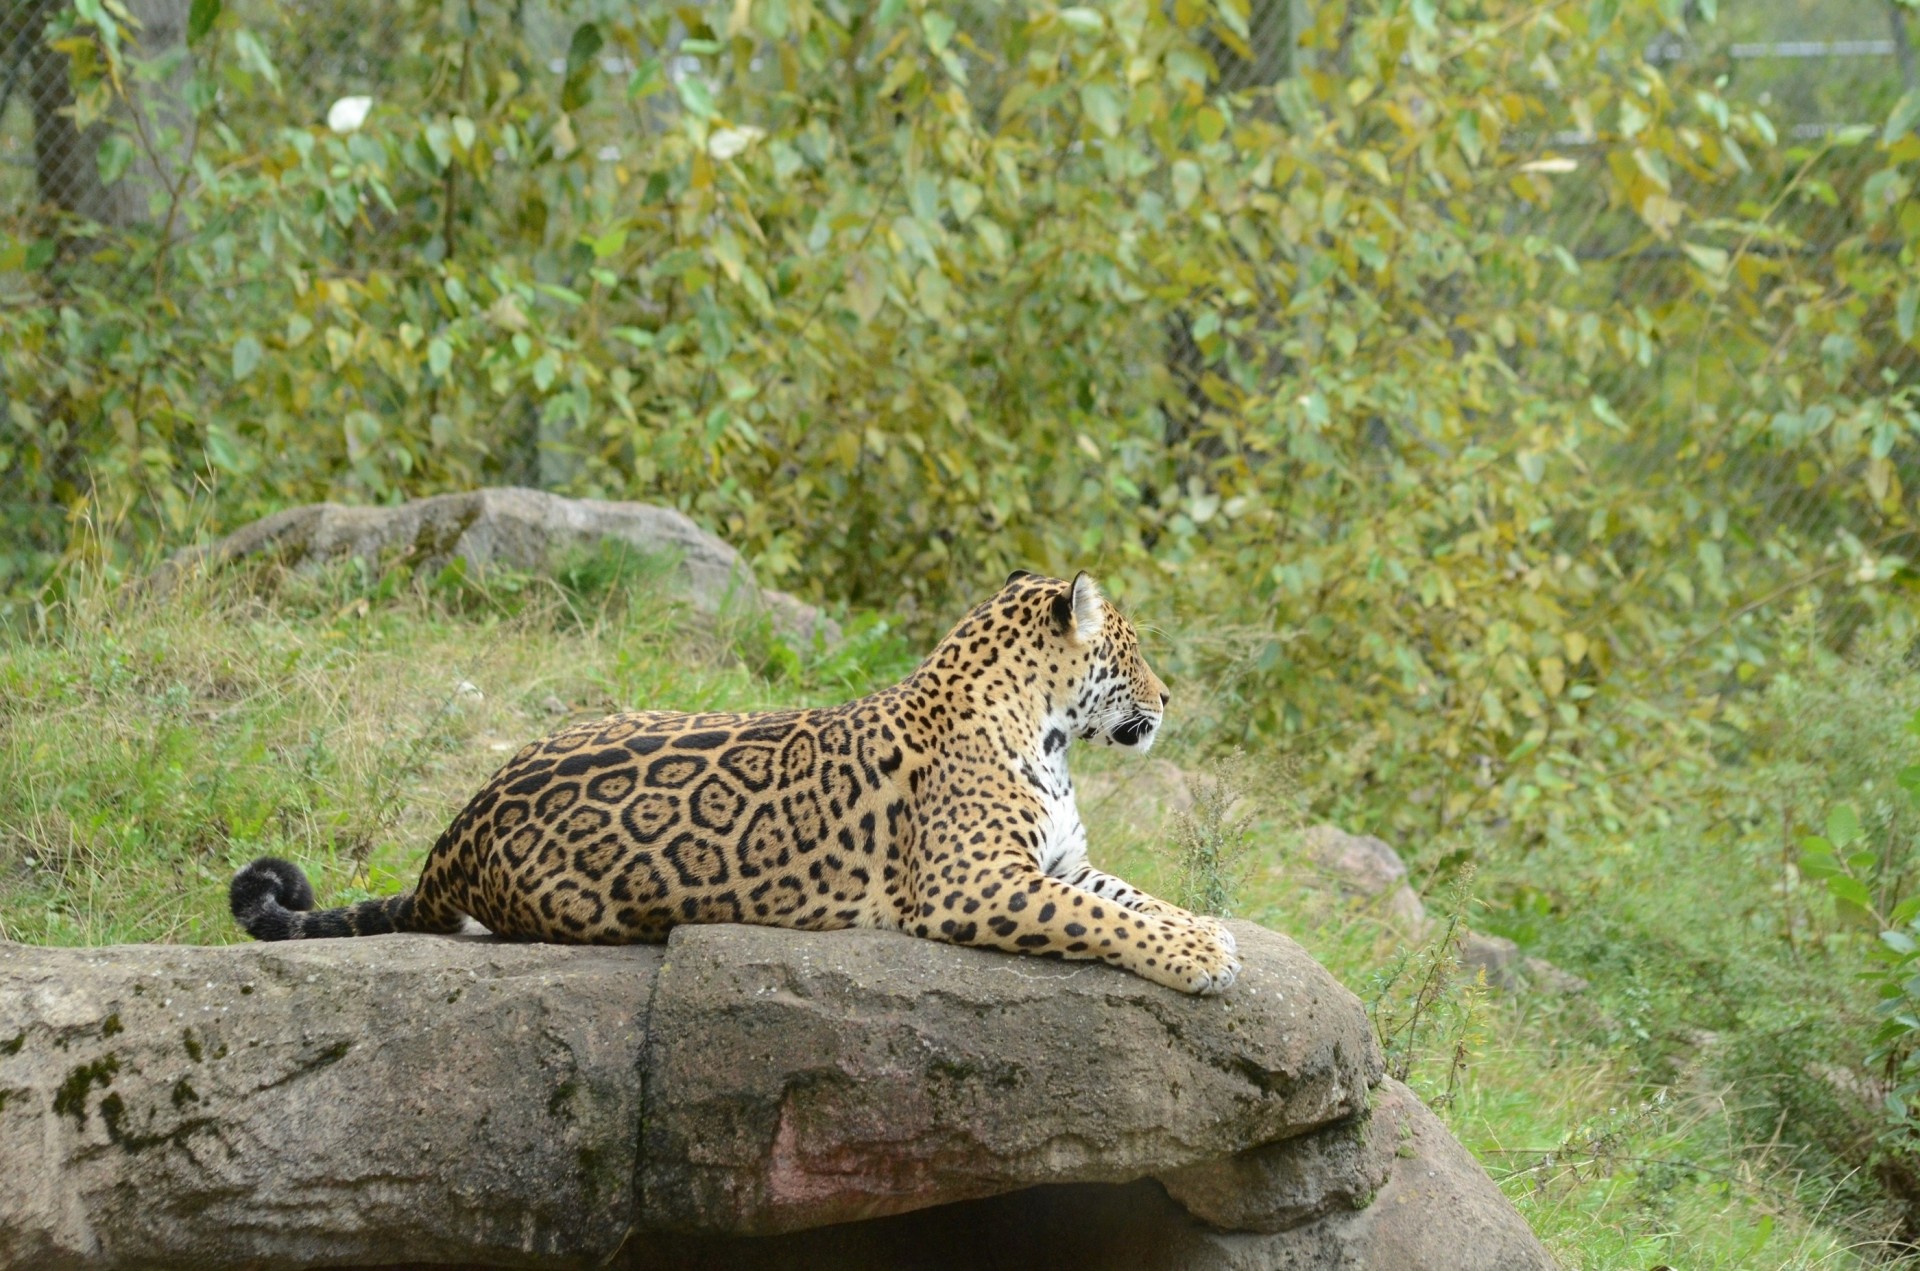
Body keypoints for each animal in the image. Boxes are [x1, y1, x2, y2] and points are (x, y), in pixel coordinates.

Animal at [229, 570, 1242, 994]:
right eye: (1134, 648)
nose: (1169, 696)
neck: (1048, 728)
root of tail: (456, 832)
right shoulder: (975, 884)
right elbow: (1100, 919)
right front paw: (1201, 959)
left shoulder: (1056, 862)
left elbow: (1129, 895)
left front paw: (1209, 932)